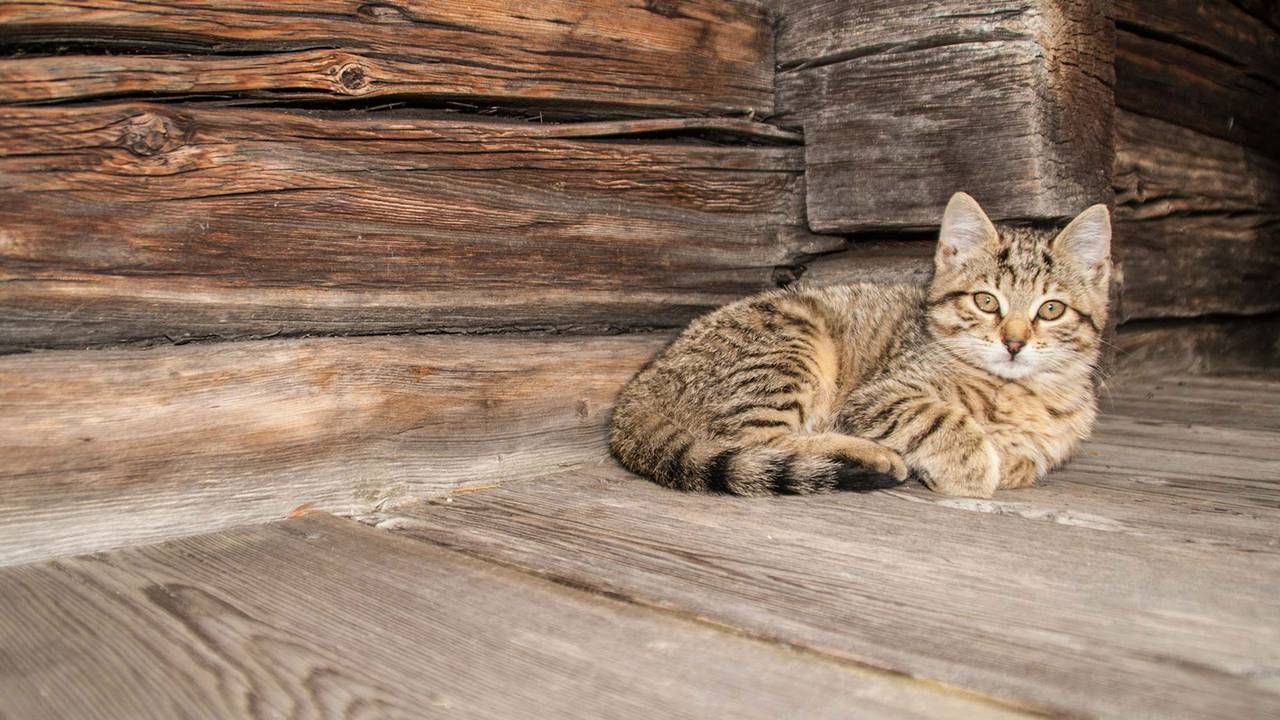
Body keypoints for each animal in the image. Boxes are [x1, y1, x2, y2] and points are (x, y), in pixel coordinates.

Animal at [609, 196, 1111, 499]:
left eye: (1051, 310)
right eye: (986, 301)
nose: (1014, 342)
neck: (1018, 392)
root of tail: (641, 387)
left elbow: (1030, 457)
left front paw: (1008, 460)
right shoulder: (878, 395)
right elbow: (939, 417)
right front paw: (970, 464)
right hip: (790, 345)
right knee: (758, 442)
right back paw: (870, 455)